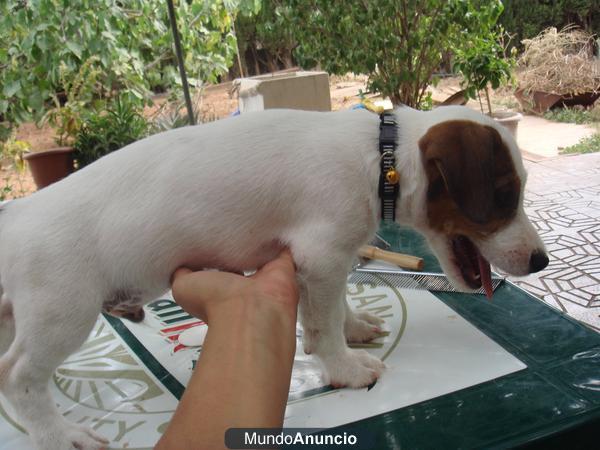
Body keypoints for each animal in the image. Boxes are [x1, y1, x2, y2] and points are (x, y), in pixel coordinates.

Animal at [0, 104, 548, 446]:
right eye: (504, 195)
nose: (541, 262)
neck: (381, 160)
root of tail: (18, 216)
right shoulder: (322, 255)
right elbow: (324, 325)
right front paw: (345, 367)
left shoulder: (323, 259)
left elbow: (335, 306)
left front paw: (354, 327)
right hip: (63, 311)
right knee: (17, 375)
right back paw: (60, 436)